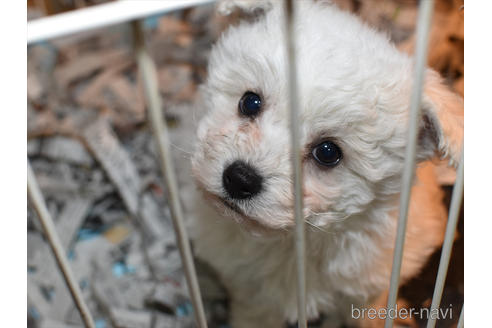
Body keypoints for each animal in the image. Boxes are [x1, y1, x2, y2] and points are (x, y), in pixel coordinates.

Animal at [189, 1, 462, 326]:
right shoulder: (250, 290)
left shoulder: (369, 287)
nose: (240, 178)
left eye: (328, 152)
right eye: (250, 102)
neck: (297, 243)